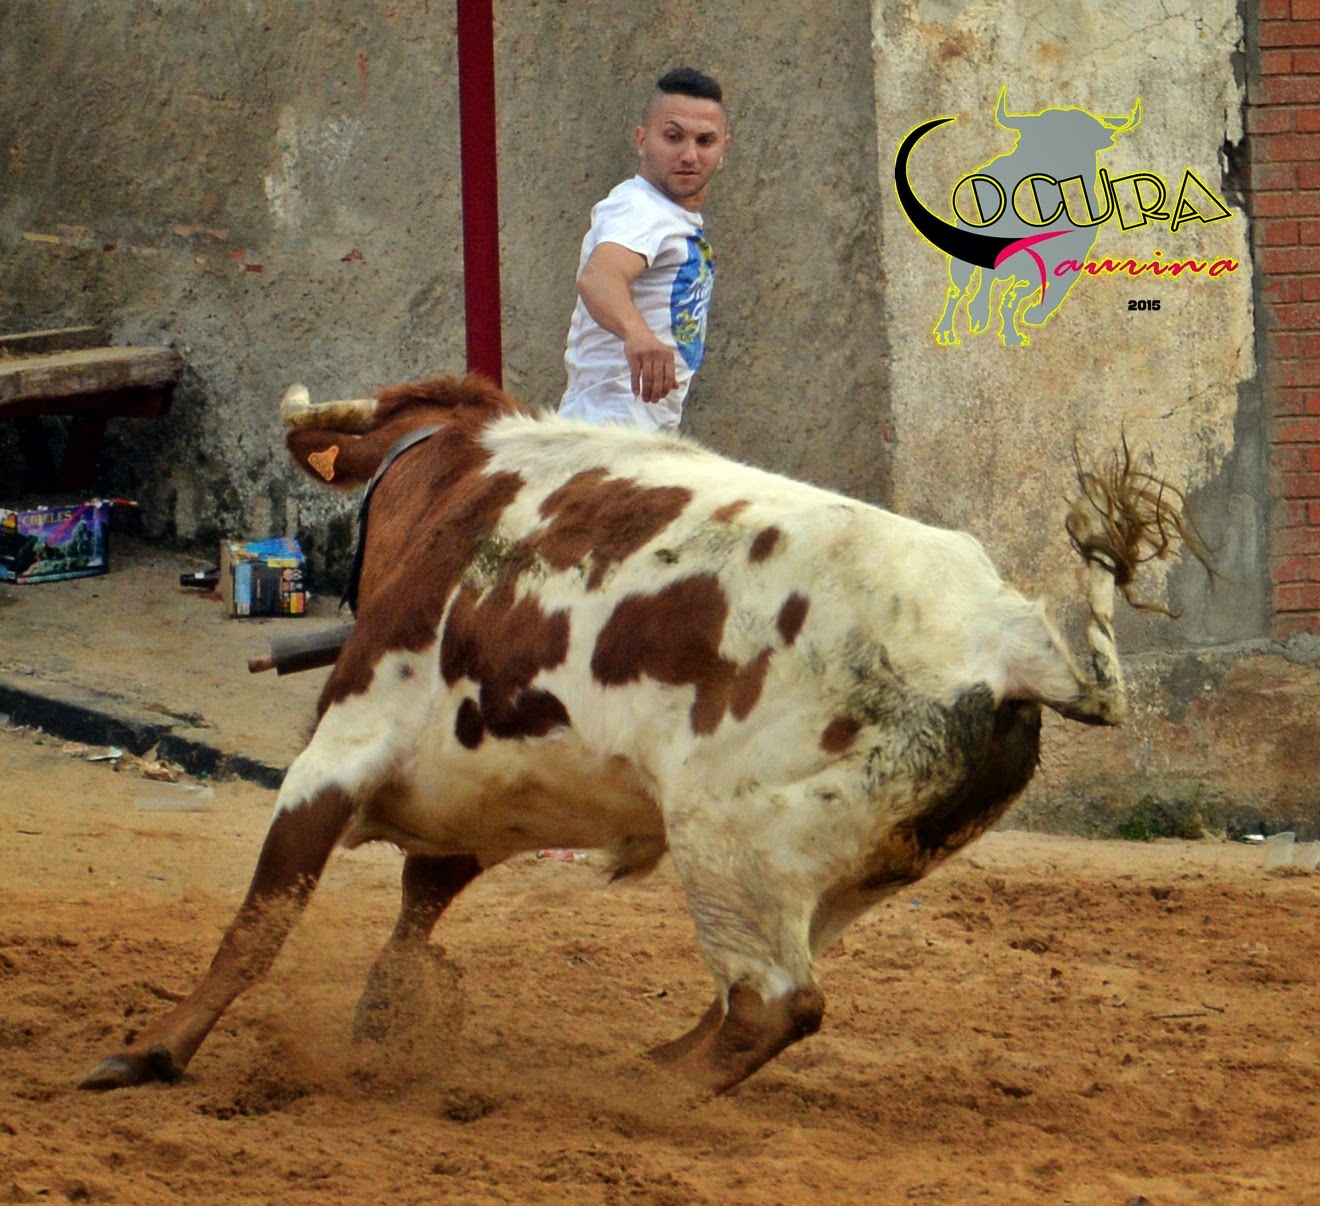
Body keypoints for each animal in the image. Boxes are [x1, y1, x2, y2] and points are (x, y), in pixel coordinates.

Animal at [79, 374, 1199, 1095]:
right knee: (764, 988)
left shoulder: (341, 752)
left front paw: (154, 1049)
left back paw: (648, 1098)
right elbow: (417, 902)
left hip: (730, 837)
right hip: (854, 867)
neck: (455, 489)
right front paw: (390, 1015)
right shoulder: (479, 792)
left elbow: (260, 921)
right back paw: (658, 1064)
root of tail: (1004, 642)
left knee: (778, 1004)